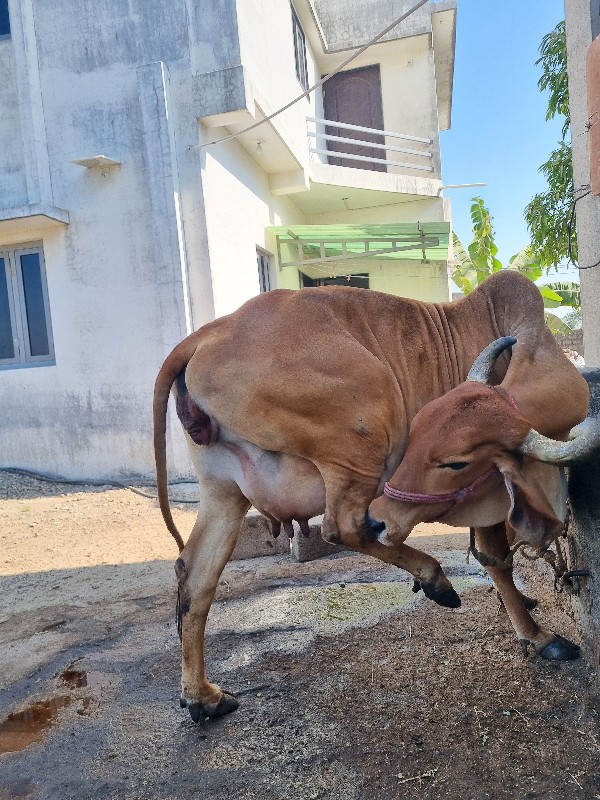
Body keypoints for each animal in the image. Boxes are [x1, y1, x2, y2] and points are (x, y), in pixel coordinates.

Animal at [155, 272, 592, 720]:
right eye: (454, 460)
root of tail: (211, 331)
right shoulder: (485, 502)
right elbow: (497, 561)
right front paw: (538, 636)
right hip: (367, 427)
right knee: (345, 527)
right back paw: (434, 577)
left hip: (223, 490)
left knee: (195, 575)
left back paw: (202, 696)